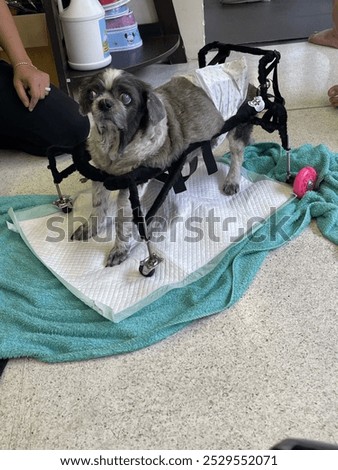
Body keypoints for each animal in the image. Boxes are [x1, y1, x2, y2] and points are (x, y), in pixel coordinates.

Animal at [72, 68, 255, 266]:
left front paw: (120, 249)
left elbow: (124, 219)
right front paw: (90, 228)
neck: (113, 144)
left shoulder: (131, 183)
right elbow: (98, 205)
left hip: (237, 127)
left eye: (126, 98)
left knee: (237, 154)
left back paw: (232, 180)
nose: (104, 103)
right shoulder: (100, 173)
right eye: (92, 93)